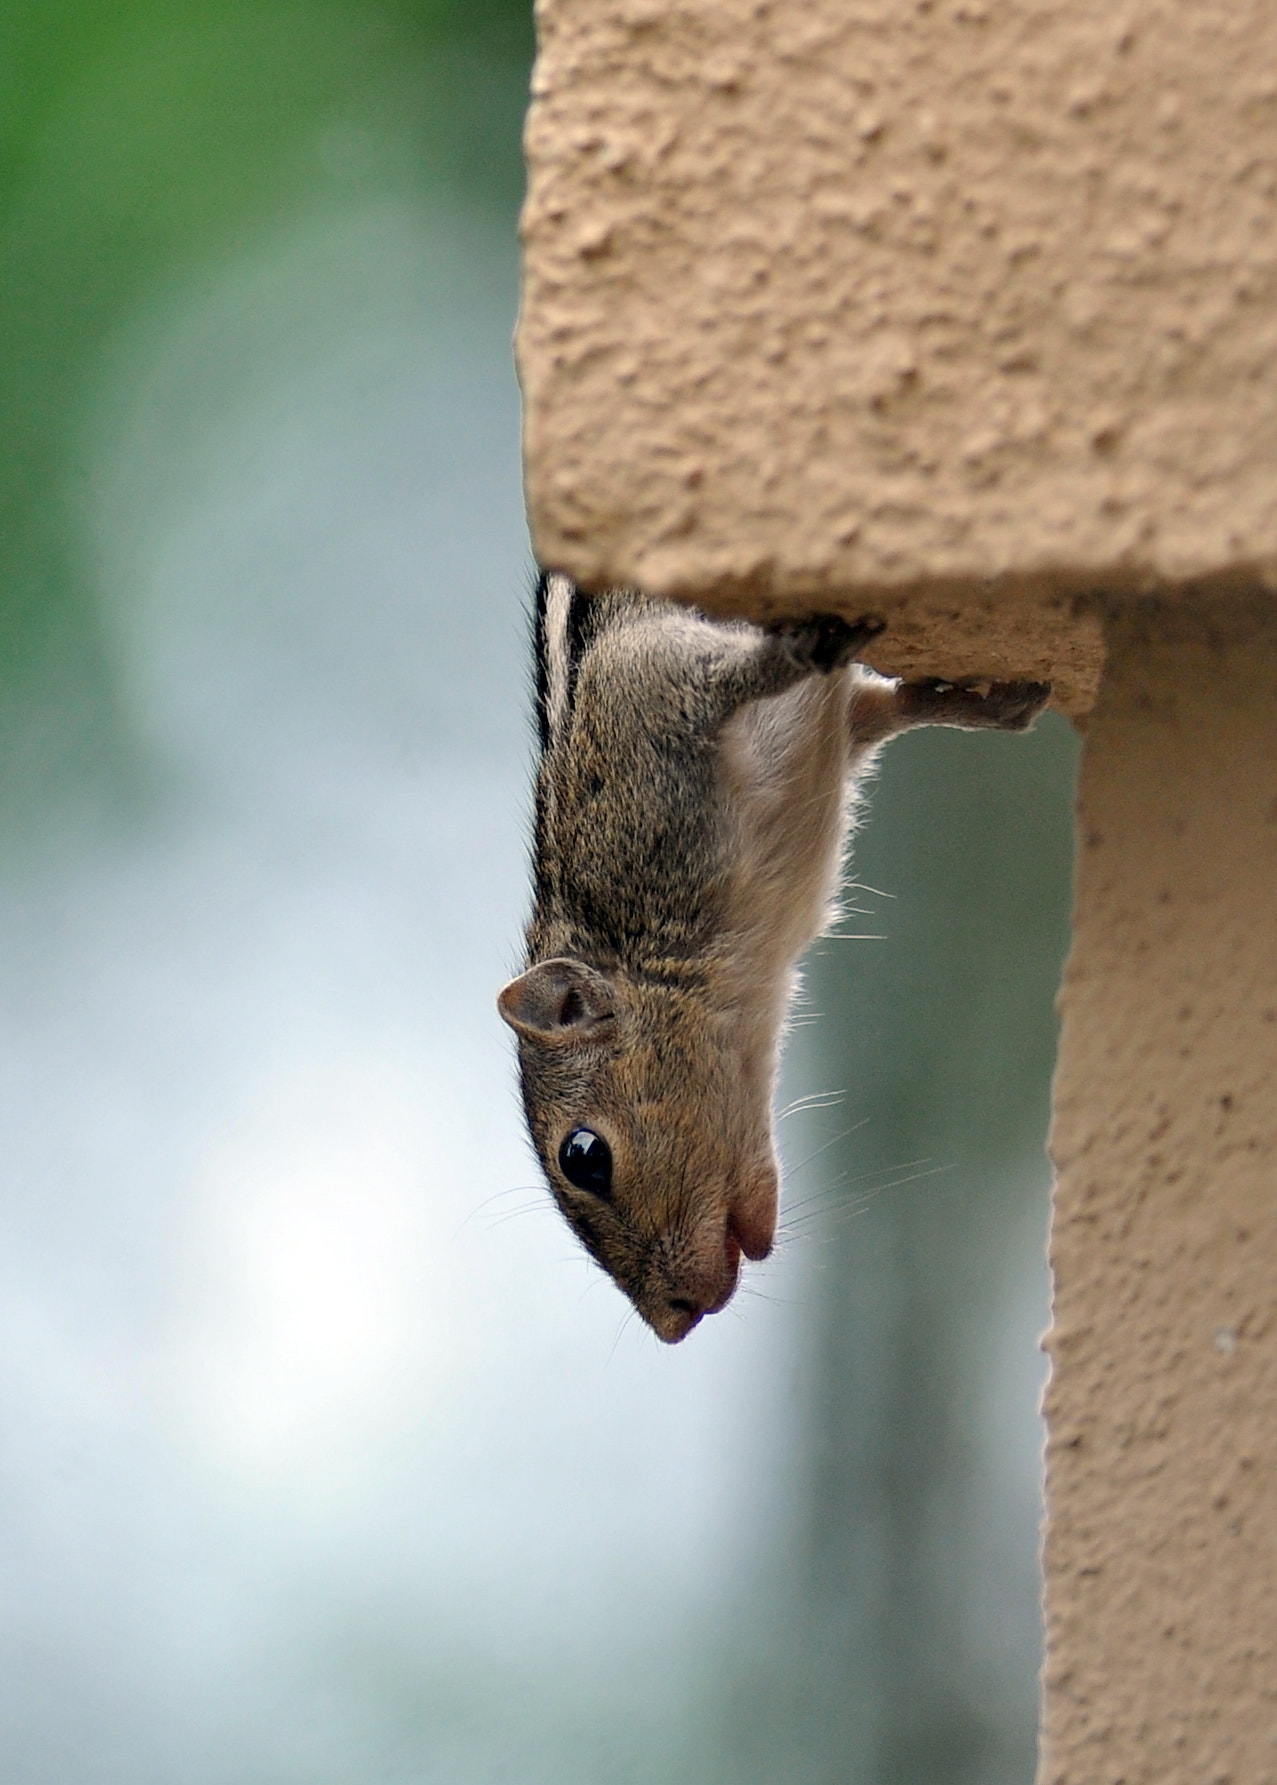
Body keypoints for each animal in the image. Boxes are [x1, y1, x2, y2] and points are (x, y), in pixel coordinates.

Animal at [498, 576, 1049, 1344]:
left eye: (583, 1156)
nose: (672, 1324)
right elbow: (886, 707)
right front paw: (992, 699)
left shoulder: (641, 689)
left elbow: (728, 674)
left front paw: (808, 644)